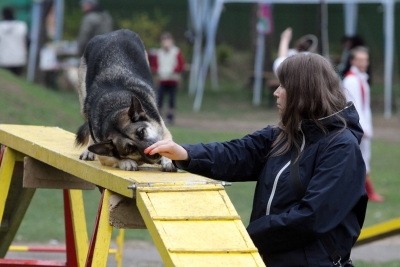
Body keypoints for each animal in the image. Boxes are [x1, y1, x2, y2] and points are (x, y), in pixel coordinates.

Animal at [76, 28, 176, 172]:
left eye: (142, 132)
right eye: (130, 148)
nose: (155, 154)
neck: (115, 109)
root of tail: (110, 34)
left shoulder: (163, 130)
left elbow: (167, 143)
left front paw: (167, 160)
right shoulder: (104, 154)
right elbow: (113, 158)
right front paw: (126, 162)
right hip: (83, 105)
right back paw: (88, 151)